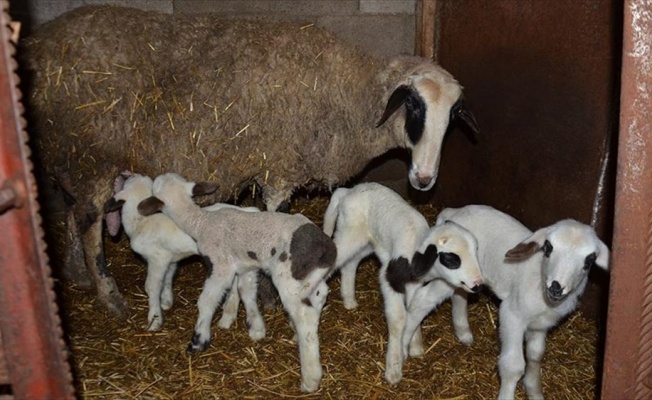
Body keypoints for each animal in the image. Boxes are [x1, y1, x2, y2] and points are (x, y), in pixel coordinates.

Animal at [20, 4, 478, 314]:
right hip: (92, 153)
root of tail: (38, 46)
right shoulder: (279, 165)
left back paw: (77, 274)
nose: (423, 179)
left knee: (75, 210)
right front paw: (271, 294)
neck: (348, 90)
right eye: (413, 107)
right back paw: (108, 293)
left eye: (453, 115)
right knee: (89, 221)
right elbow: (278, 219)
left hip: (73, 156)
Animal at [137, 172, 336, 394]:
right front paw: (256, 329)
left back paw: (310, 377)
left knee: (304, 313)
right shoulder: (246, 267)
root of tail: (326, 249)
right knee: (319, 296)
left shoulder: (220, 266)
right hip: (311, 278)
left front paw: (198, 340)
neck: (201, 223)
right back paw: (299, 337)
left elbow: (206, 301)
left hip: (288, 276)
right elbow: (245, 292)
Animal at [322, 183, 484, 386]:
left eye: (476, 251)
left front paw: (415, 345)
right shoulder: (390, 278)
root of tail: (349, 190)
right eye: (451, 259)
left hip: (367, 241)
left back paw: (349, 300)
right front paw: (394, 367)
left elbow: (414, 309)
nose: (478, 284)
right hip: (350, 230)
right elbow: (399, 319)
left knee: (350, 263)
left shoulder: (417, 286)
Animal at [404, 206, 608, 400]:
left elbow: (535, 355)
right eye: (548, 247)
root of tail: (451, 213)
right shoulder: (512, 314)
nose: (556, 287)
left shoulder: (540, 325)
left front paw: (534, 391)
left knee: (458, 295)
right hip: (448, 274)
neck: (539, 279)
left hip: (466, 279)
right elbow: (513, 366)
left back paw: (463, 333)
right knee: (422, 300)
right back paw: (407, 345)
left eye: (590, 259)